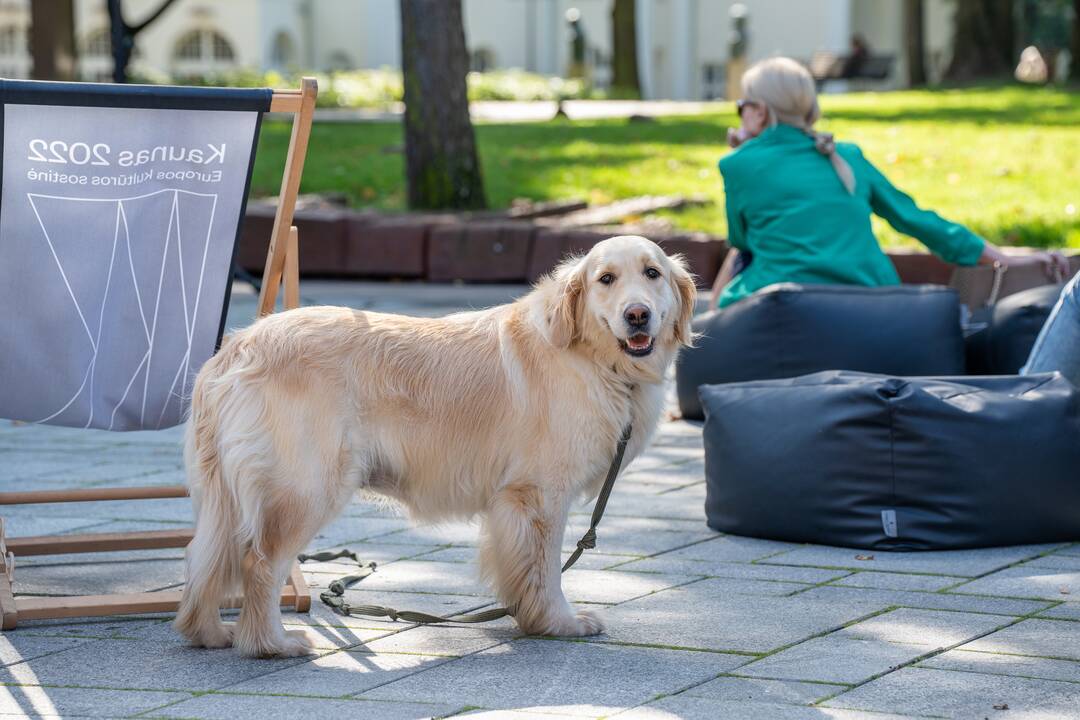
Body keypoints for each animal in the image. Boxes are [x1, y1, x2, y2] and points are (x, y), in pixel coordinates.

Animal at [172, 236, 695, 660]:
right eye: (606, 279)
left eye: (652, 273)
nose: (637, 315)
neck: (596, 360)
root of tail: (236, 347)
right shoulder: (541, 495)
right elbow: (546, 570)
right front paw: (560, 623)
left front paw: (529, 619)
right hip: (308, 488)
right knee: (259, 564)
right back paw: (271, 645)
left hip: (227, 497)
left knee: (203, 558)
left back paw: (211, 634)